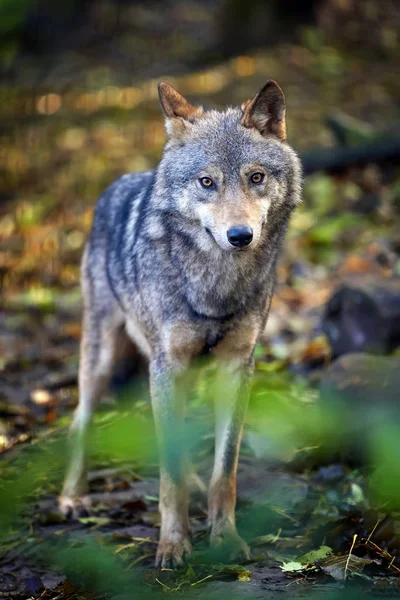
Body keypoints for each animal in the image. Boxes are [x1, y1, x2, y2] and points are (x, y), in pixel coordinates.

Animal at [59, 78, 302, 568]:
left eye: (256, 177)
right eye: (207, 182)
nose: (240, 236)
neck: (214, 284)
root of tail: (121, 181)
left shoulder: (236, 366)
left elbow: (224, 469)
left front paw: (224, 537)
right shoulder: (166, 365)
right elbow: (167, 473)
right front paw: (173, 545)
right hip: (104, 360)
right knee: (80, 420)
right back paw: (73, 498)